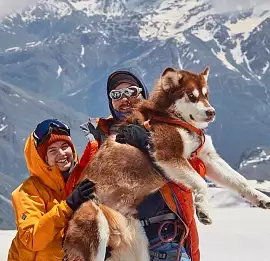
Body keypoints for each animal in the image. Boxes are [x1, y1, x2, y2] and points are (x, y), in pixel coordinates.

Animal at [63, 66, 270, 260]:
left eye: (206, 94)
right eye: (191, 96)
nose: (211, 112)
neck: (174, 117)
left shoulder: (208, 157)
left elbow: (239, 180)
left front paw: (261, 197)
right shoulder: (168, 155)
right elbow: (200, 182)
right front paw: (203, 209)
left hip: (138, 243)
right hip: (95, 223)